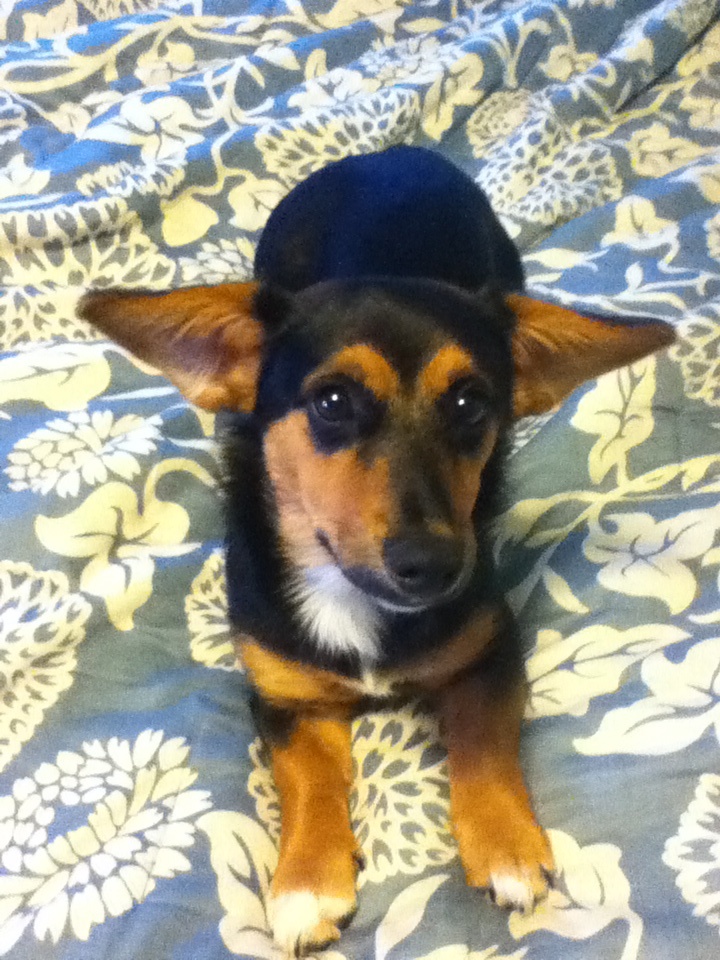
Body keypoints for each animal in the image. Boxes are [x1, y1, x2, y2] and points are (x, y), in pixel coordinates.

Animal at [79, 146, 676, 956]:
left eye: (472, 405)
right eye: (332, 403)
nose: (432, 564)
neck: (350, 593)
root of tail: (392, 154)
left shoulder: (492, 650)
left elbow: (482, 740)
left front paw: (507, 846)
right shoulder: (282, 697)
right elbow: (306, 780)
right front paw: (305, 884)